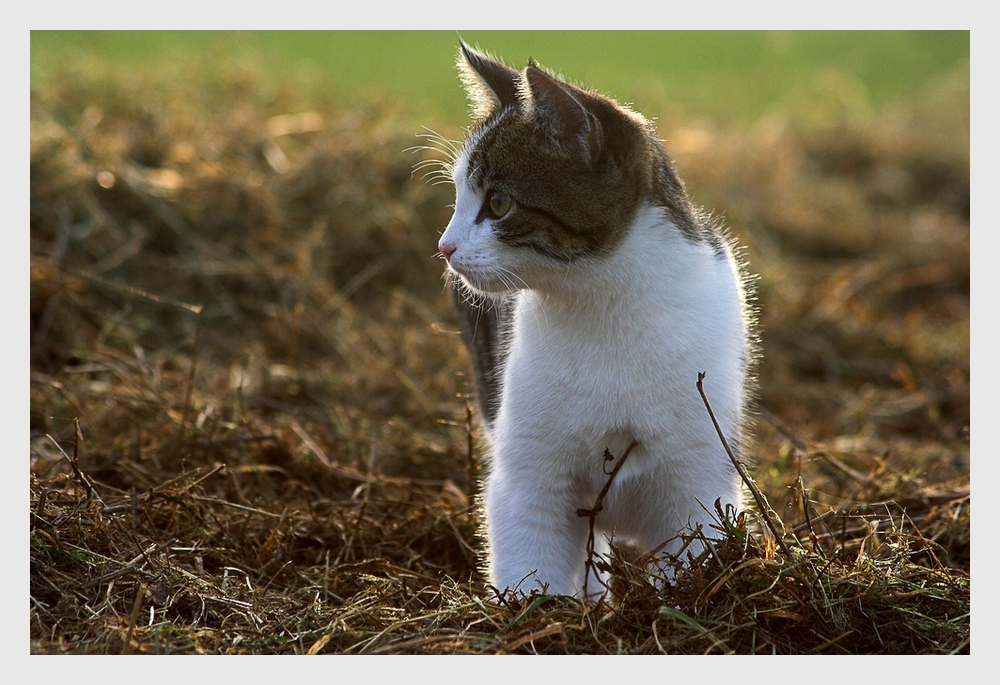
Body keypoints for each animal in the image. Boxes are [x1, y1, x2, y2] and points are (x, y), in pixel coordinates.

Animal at [434, 44, 752, 600]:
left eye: (498, 202)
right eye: (457, 198)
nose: (445, 247)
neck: (601, 302)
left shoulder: (697, 473)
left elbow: (695, 551)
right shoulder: (528, 475)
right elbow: (530, 554)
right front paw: (538, 613)